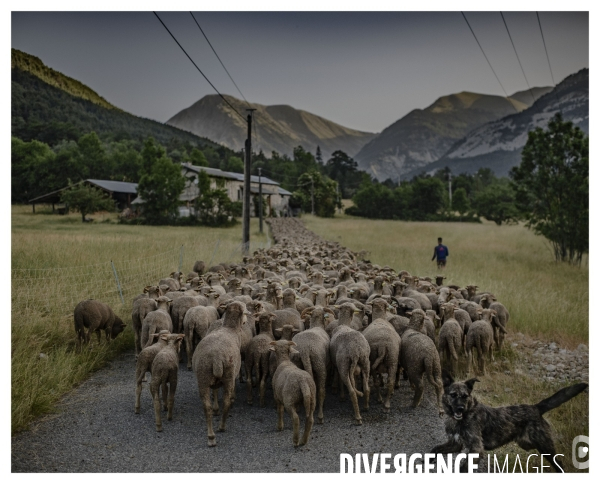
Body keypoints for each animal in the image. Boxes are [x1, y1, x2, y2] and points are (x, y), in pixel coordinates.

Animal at [192, 300, 248, 448]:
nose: (245, 322)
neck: (229, 328)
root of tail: (216, 357)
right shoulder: (232, 375)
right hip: (227, 375)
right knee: (226, 402)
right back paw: (221, 427)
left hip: (203, 376)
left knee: (207, 407)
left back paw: (211, 437)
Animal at [428, 370, 588, 472]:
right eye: (453, 395)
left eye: (465, 396)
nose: (460, 409)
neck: (464, 416)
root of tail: (535, 407)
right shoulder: (455, 444)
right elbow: (435, 449)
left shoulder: (476, 449)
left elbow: (463, 467)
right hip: (527, 443)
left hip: (545, 446)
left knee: (559, 464)